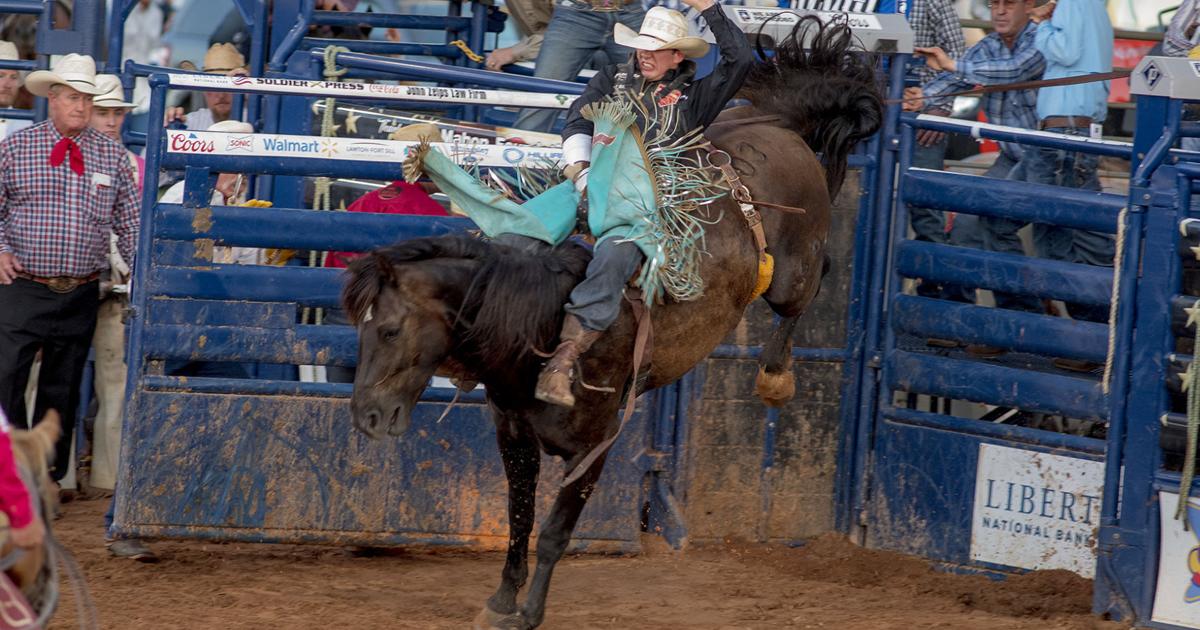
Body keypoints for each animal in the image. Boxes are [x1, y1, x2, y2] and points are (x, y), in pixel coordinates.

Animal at [343, 17, 882, 630]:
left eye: (389, 330)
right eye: (361, 329)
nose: (366, 416)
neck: (546, 322)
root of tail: (777, 120)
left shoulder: (595, 446)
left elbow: (555, 532)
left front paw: (529, 612)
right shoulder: (515, 436)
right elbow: (520, 520)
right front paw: (501, 600)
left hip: (794, 268)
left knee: (803, 294)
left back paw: (775, 378)